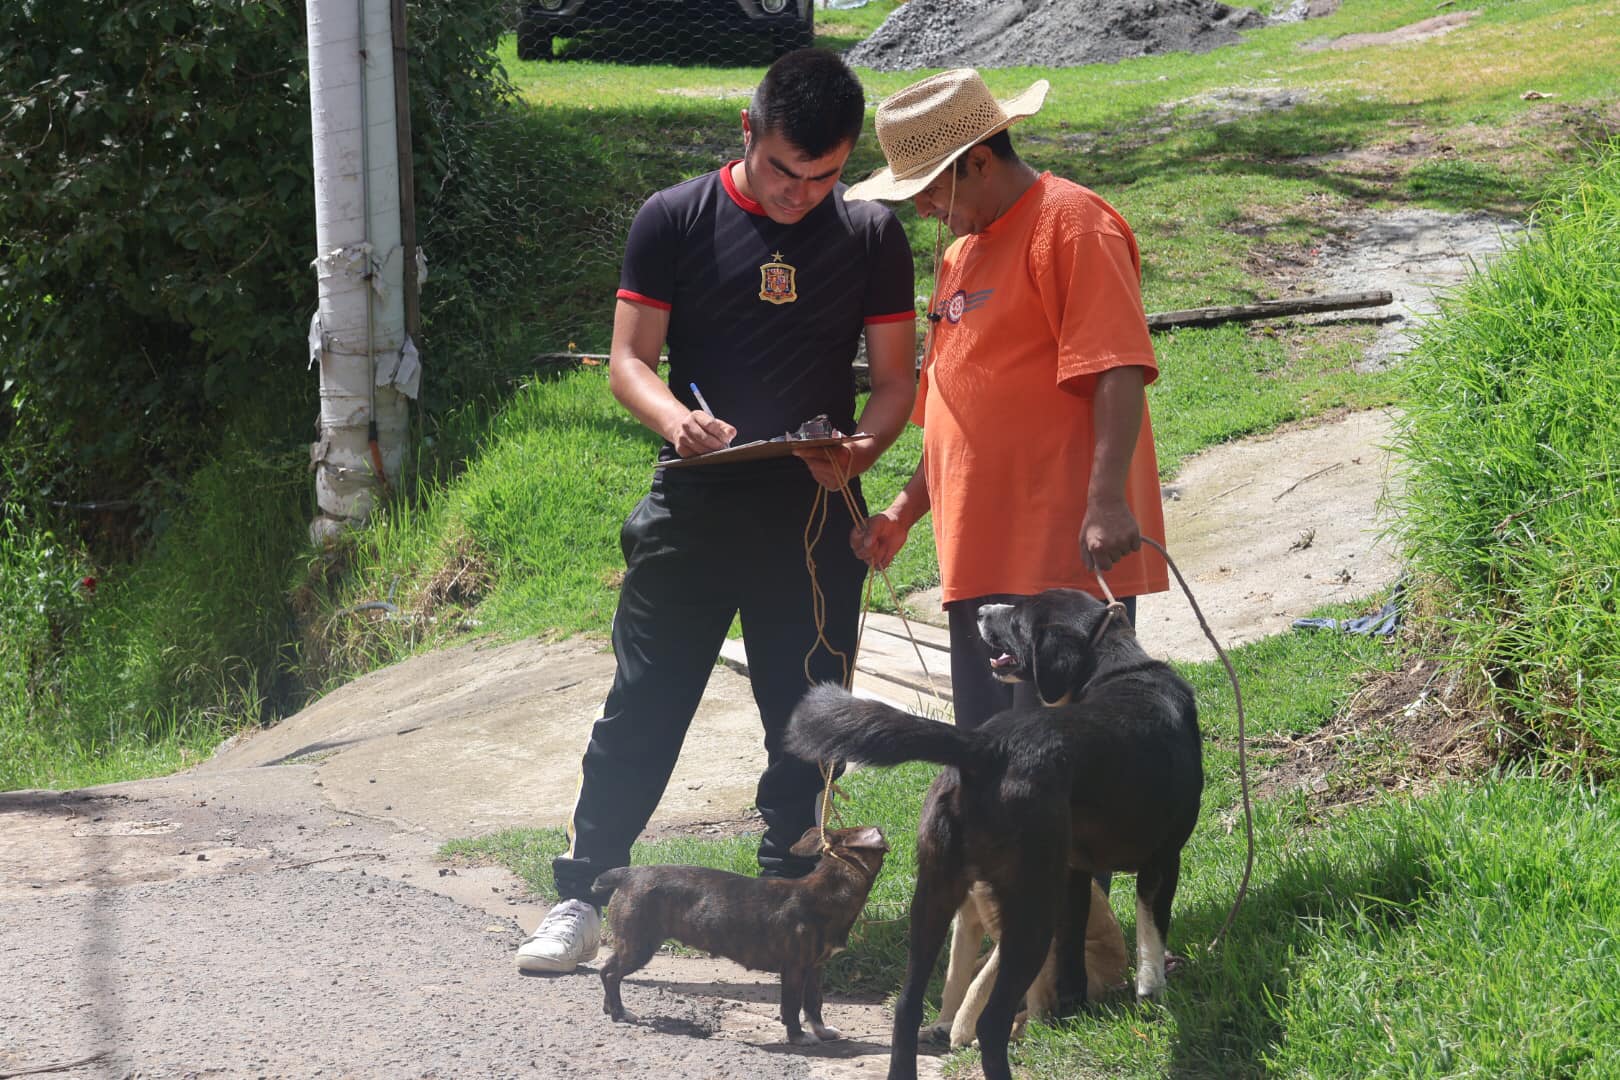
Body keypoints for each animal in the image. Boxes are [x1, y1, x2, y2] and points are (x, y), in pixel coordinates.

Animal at [589, 829, 887, 1049]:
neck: (829, 889)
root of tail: (628, 874)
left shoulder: (816, 968)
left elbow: (814, 1003)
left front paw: (822, 1031)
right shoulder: (794, 969)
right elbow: (792, 1006)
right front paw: (798, 1037)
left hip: (631, 942)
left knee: (605, 971)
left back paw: (610, 1008)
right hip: (640, 945)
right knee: (613, 974)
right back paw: (619, 1013)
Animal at [784, 592, 1205, 1080]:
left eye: (1018, 616)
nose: (983, 611)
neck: (1117, 667)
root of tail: (984, 748)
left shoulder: (1075, 875)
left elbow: (1072, 963)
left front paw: (1073, 1014)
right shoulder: (1164, 860)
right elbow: (1151, 943)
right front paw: (1153, 997)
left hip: (935, 894)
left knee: (908, 1006)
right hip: (1029, 908)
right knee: (991, 1021)